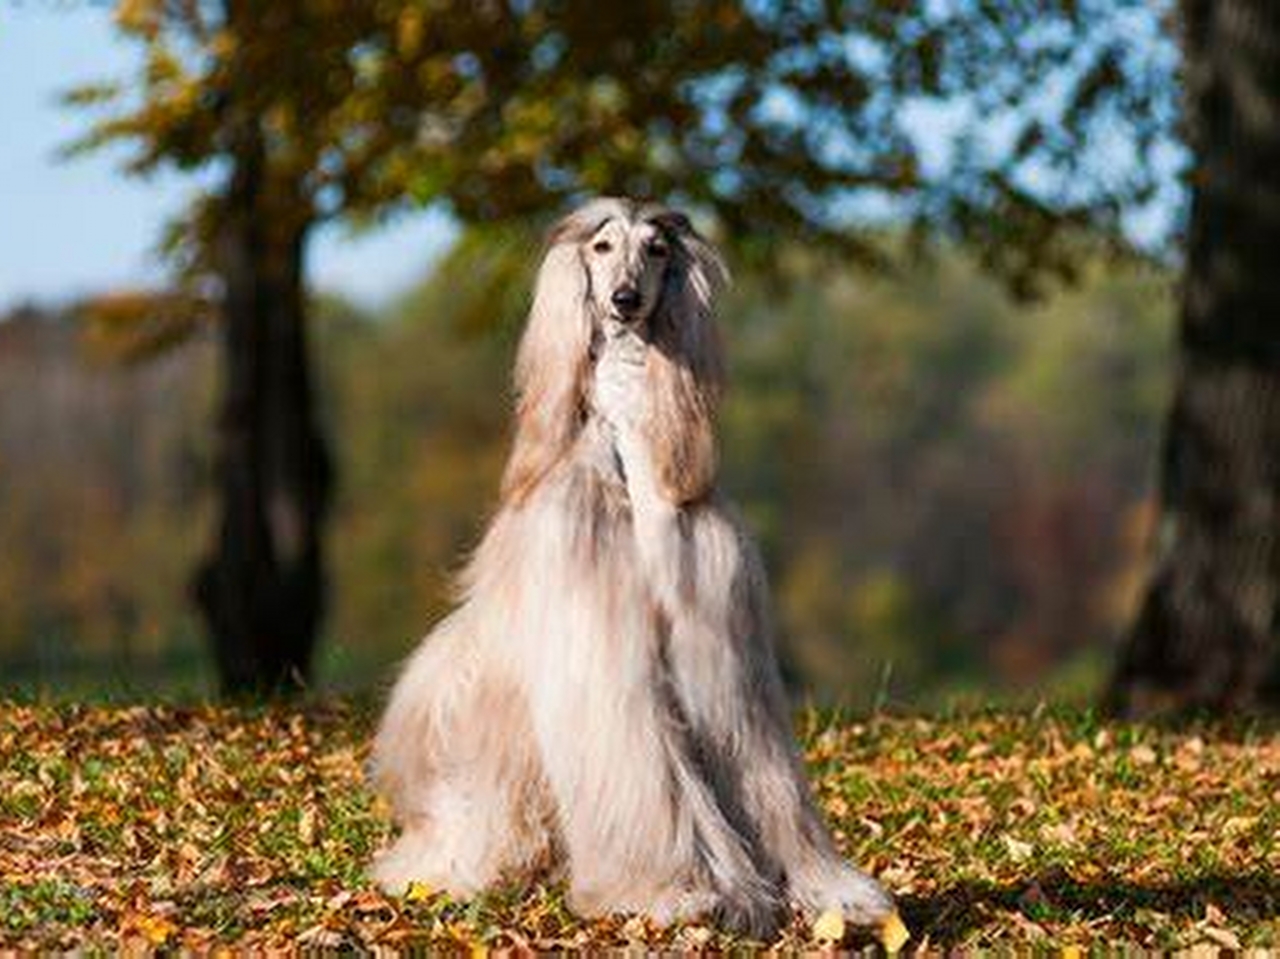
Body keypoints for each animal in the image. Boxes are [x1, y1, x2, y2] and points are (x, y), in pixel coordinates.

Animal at [366, 194, 896, 937]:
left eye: (657, 249)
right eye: (601, 247)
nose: (624, 300)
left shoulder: (716, 644)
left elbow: (759, 775)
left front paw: (822, 891)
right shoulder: (601, 644)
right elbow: (643, 769)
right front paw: (677, 888)